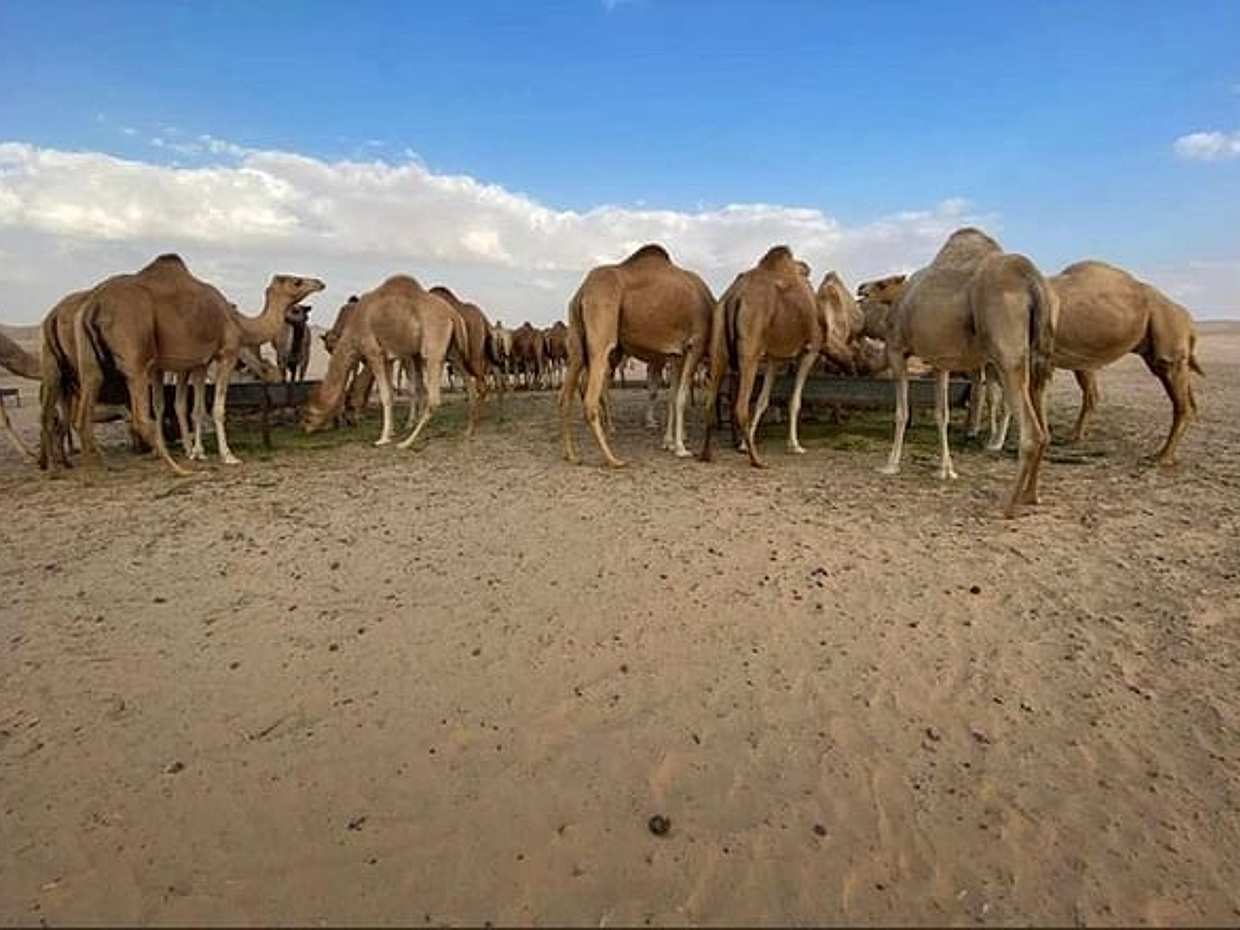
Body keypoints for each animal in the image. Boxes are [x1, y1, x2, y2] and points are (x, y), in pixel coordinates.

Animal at [74, 254, 324, 473]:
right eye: (296, 281)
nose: (320, 282)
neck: (239, 322)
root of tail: (93, 303)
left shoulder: (200, 363)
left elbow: (196, 408)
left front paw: (197, 452)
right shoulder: (226, 354)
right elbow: (217, 409)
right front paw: (228, 456)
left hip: (89, 361)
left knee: (83, 413)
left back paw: (95, 470)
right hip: (136, 353)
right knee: (140, 417)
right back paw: (179, 469)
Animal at [303, 275, 466, 450]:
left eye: (308, 415)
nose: (305, 428)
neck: (353, 329)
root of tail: (452, 314)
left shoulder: (373, 352)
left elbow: (386, 396)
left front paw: (383, 438)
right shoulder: (388, 358)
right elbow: (391, 394)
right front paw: (392, 431)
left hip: (433, 346)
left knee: (434, 398)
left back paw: (406, 442)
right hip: (451, 349)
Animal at [560, 243, 714, 466]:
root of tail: (583, 291)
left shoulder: (677, 354)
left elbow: (672, 397)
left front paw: (668, 443)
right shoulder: (696, 344)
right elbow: (681, 398)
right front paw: (681, 448)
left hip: (576, 338)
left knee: (565, 397)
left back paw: (571, 454)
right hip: (602, 324)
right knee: (591, 397)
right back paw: (613, 458)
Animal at [700, 246, 825, 467]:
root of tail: (734, 296)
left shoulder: (774, 358)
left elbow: (763, 400)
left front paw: (743, 444)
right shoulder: (810, 350)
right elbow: (795, 401)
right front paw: (795, 446)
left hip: (718, 346)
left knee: (710, 400)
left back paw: (707, 454)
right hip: (751, 347)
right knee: (740, 406)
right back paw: (757, 459)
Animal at [858, 227, 1057, 518]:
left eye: (883, 283)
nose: (861, 287)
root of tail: (1033, 281)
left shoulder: (896, 349)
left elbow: (902, 412)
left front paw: (890, 464)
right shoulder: (940, 362)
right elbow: (942, 414)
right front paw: (946, 470)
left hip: (1006, 353)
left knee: (1033, 433)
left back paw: (1008, 503)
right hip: (1038, 355)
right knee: (1043, 426)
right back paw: (1031, 496)